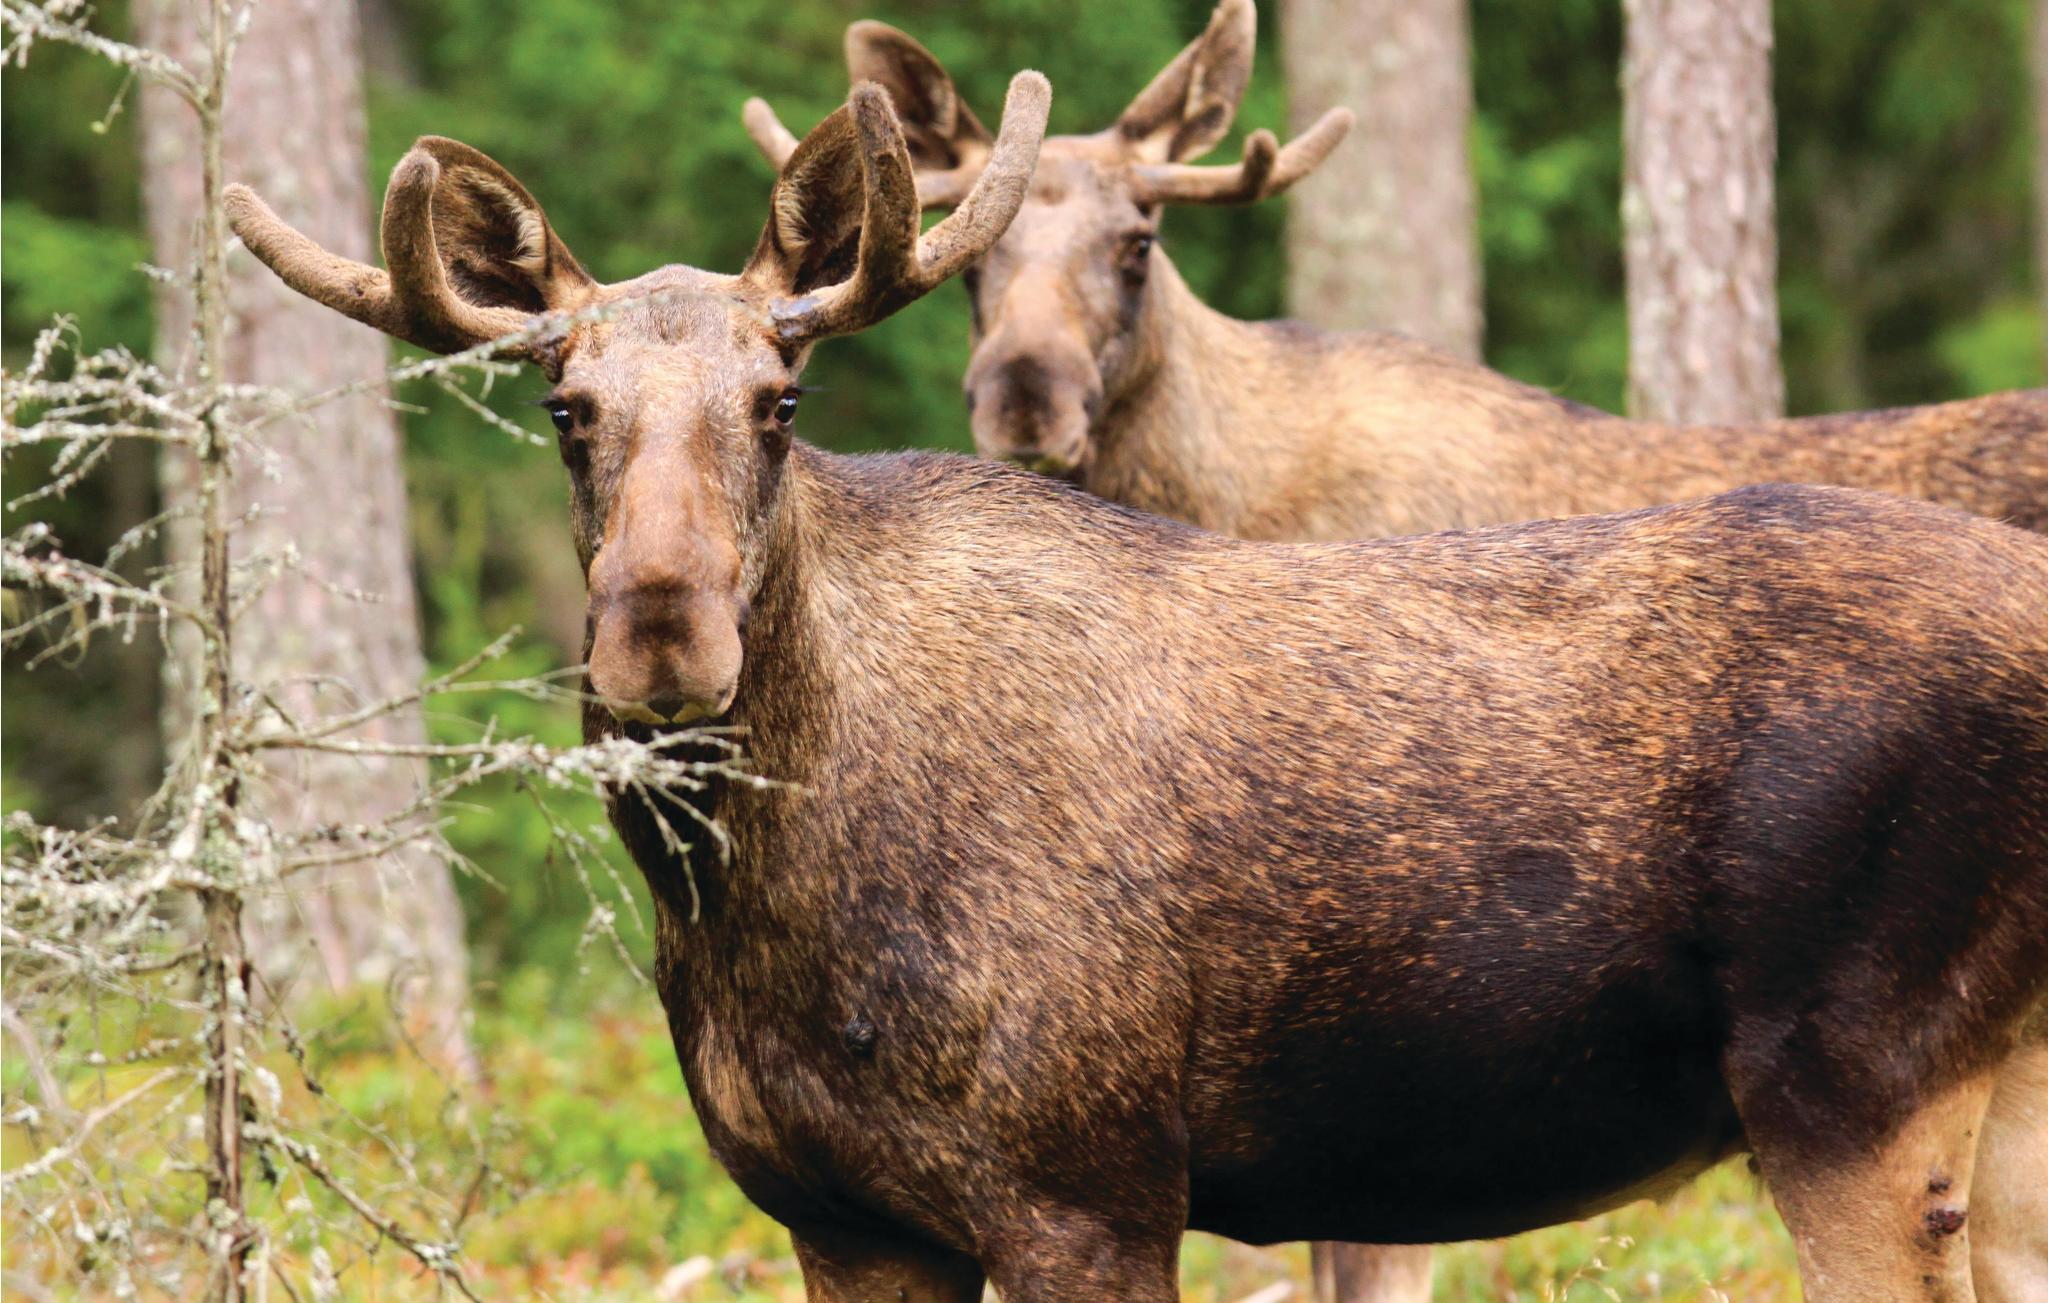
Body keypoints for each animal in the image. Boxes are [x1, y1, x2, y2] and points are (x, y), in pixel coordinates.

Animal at [226, 75, 2048, 1303]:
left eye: (780, 399)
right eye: (566, 410)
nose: (661, 628)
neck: (760, 910)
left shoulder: (1086, 1181)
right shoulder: (841, 1213)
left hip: (1851, 1077)